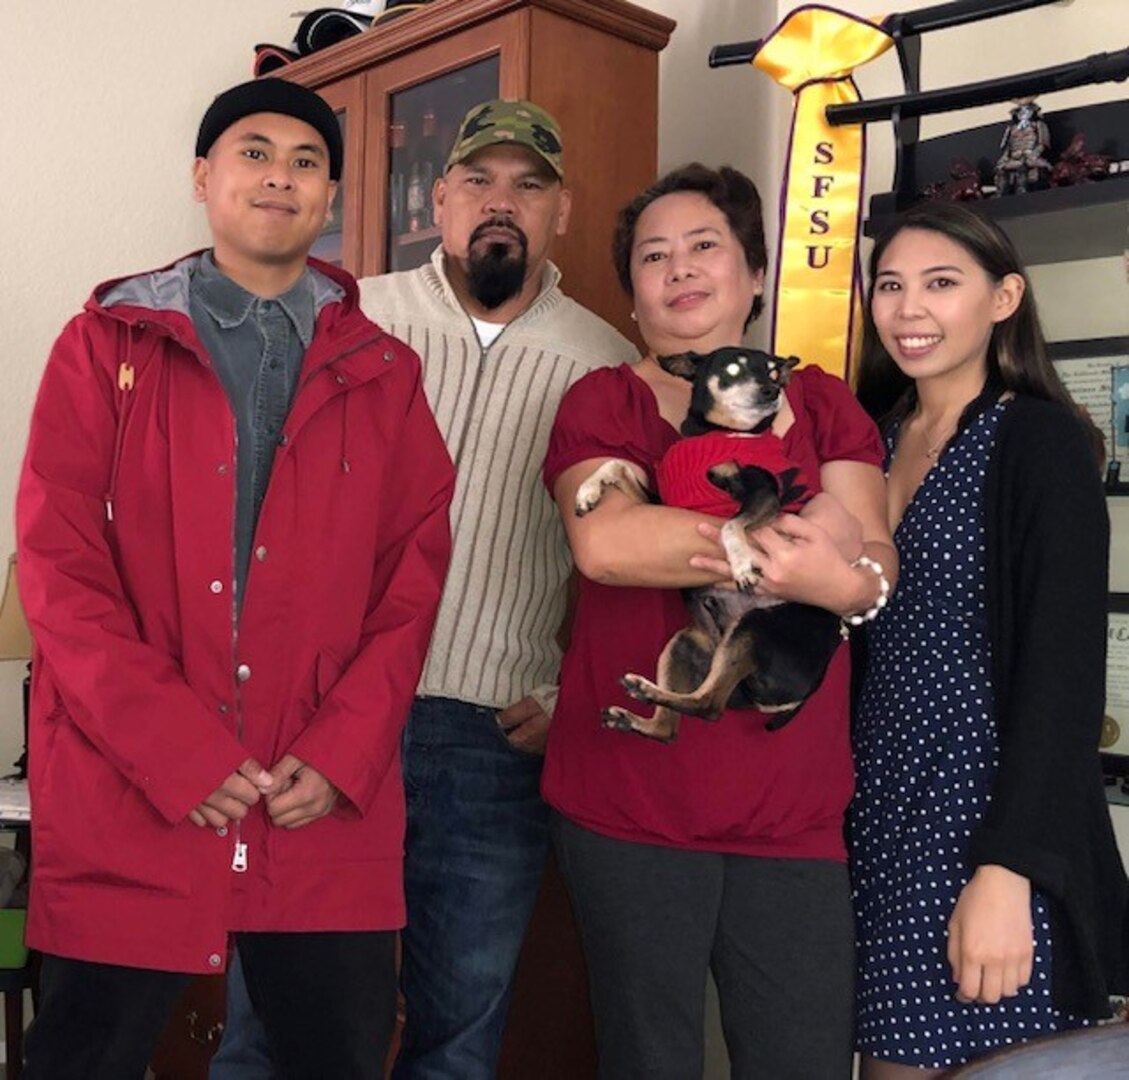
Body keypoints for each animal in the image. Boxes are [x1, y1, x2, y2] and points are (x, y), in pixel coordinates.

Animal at [578, 345, 844, 740]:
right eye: (733, 369)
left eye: (774, 373)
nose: (771, 391)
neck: (717, 434)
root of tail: (809, 690)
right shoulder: (664, 504)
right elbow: (616, 464)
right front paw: (588, 491)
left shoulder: (766, 495)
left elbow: (730, 526)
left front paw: (741, 563)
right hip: (687, 643)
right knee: (669, 729)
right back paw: (633, 715)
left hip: (756, 627)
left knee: (708, 707)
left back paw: (644, 690)